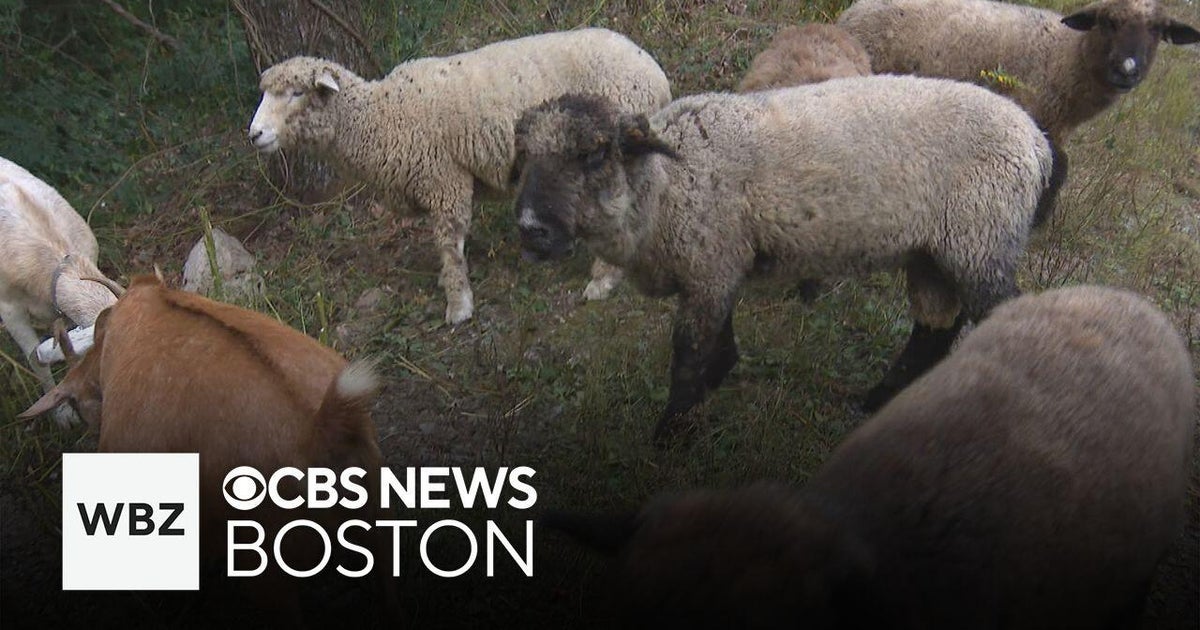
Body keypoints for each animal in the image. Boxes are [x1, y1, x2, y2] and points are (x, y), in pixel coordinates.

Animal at [247, 28, 672, 325]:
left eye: (297, 93)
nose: (254, 134)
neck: (383, 117)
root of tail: (655, 73)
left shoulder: (443, 179)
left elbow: (449, 243)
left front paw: (458, 303)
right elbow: (454, 243)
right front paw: (449, 283)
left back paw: (602, 279)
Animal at [513, 77, 1064, 443]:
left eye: (594, 154)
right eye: (524, 157)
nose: (531, 229)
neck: (665, 182)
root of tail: (1037, 141)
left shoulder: (709, 262)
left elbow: (688, 348)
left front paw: (674, 428)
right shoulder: (717, 262)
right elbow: (717, 337)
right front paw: (716, 379)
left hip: (981, 236)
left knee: (997, 313)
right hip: (935, 249)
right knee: (934, 328)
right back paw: (879, 399)